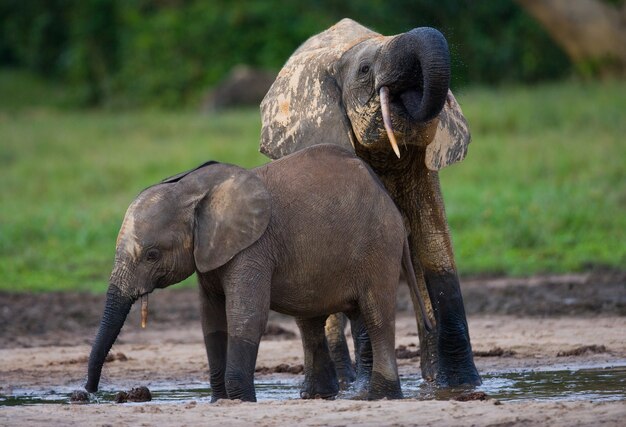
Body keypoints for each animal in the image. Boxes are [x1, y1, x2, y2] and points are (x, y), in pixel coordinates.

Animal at [85, 144, 426, 402]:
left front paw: (240, 400)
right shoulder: (210, 253)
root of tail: (386, 195)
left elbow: (245, 315)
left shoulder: (253, 247)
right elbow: (211, 321)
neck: (192, 188)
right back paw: (317, 396)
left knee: (377, 315)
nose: (89, 392)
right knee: (311, 320)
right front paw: (219, 400)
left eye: (152, 255)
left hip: (380, 246)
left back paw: (381, 396)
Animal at [258, 19, 478, 388]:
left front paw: (463, 384)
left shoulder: (422, 166)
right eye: (364, 70)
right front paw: (365, 385)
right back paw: (347, 382)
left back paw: (430, 378)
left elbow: (435, 247)